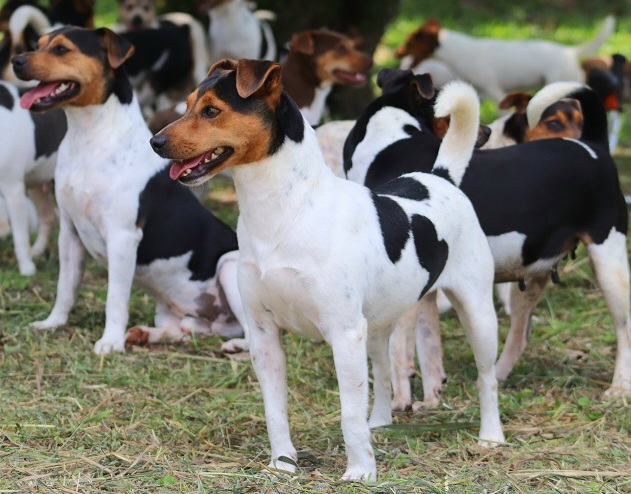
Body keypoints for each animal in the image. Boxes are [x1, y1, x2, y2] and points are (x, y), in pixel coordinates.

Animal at [0, 79, 65, 276]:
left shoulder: (13, 188)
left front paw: (26, 268)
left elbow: (20, 234)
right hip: (37, 183)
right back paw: (37, 250)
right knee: (49, 216)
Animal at [11, 27, 249, 354]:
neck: (89, 138)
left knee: (252, 331)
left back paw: (237, 347)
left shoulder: (122, 238)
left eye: (61, 49)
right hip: (175, 313)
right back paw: (146, 335)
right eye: (38, 44)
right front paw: (53, 323)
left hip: (228, 266)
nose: (16, 61)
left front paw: (110, 342)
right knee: (189, 329)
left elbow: (115, 297)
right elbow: (65, 288)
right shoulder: (70, 233)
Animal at [151, 58, 506, 478]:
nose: (155, 142)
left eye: (211, 111)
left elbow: (348, 413)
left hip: (477, 313)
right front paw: (283, 463)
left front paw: (361, 471)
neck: (284, 212)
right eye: (188, 104)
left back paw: (490, 436)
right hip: (378, 326)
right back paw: (380, 423)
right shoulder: (264, 335)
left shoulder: (344, 333)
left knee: (487, 378)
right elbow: (276, 410)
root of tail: (439, 176)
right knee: (382, 373)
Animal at [346, 69, 631, 410]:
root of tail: (594, 146)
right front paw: (431, 399)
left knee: (624, 327)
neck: (389, 141)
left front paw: (399, 403)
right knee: (519, 335)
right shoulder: (425, 287)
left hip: (609, 262)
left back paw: (619, 388)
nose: (487, 129)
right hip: (531, 275)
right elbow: (429, 348)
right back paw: (497, 374)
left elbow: (398, 353)